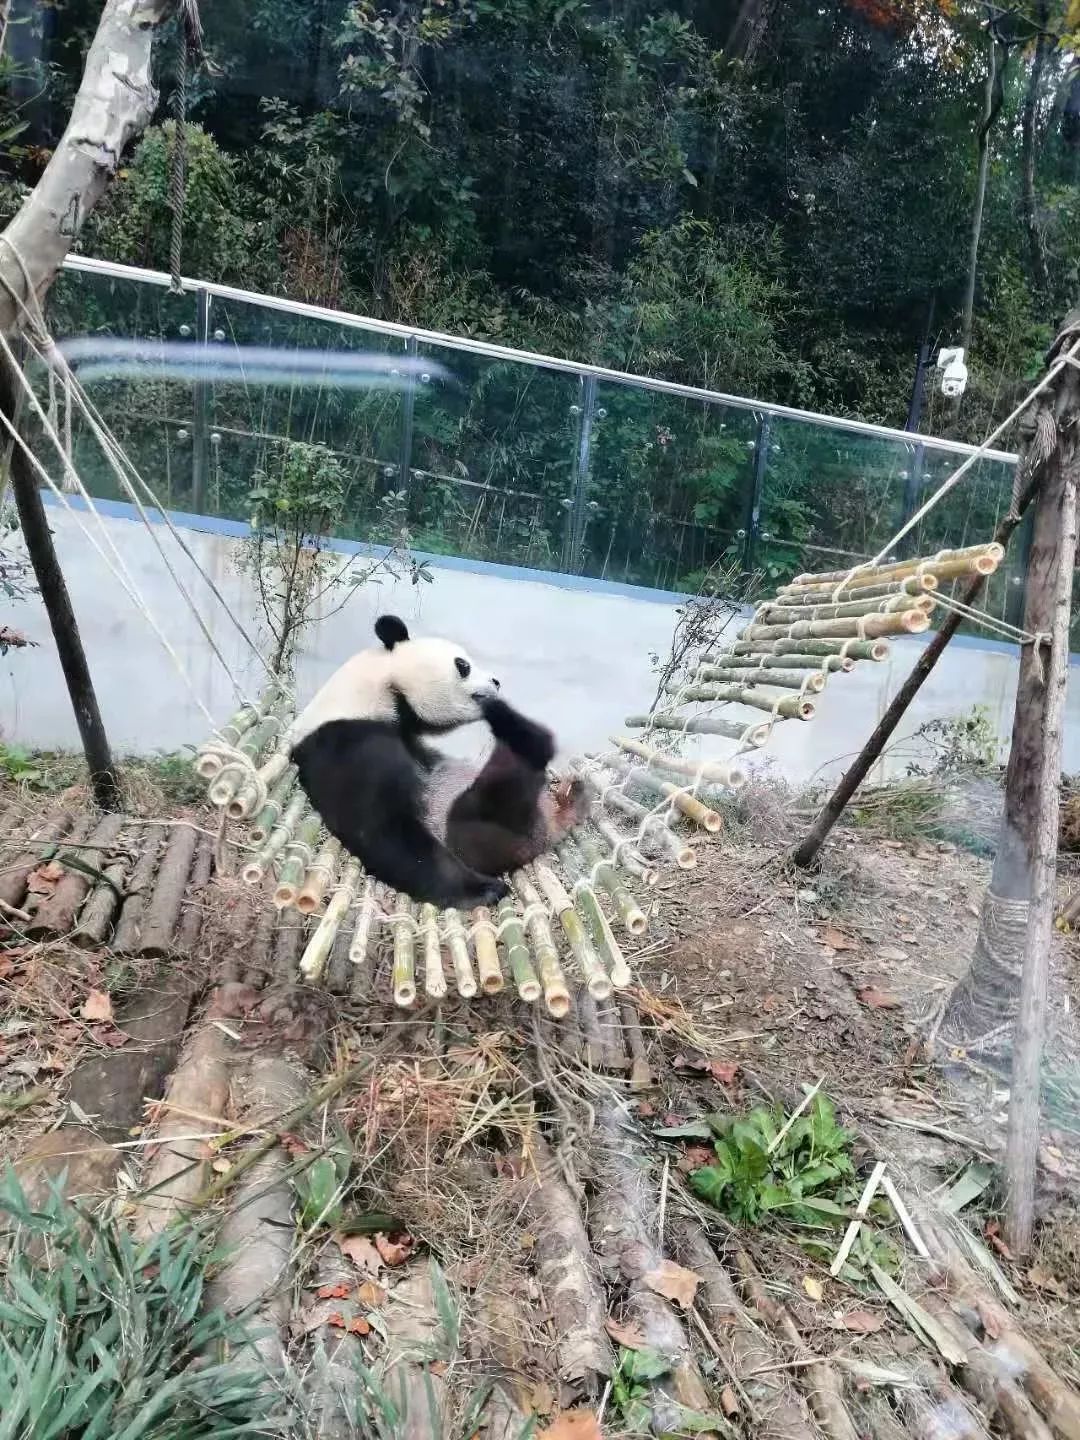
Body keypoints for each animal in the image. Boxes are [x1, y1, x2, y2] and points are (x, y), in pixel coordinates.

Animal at [288, 613, 587, 904]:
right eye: (463, 665)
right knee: (502, 793)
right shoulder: (347, 742)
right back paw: (516, 729)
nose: (496, 682)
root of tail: (546, 831)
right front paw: (485, 889)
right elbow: (381, 829)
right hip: (477, 830)